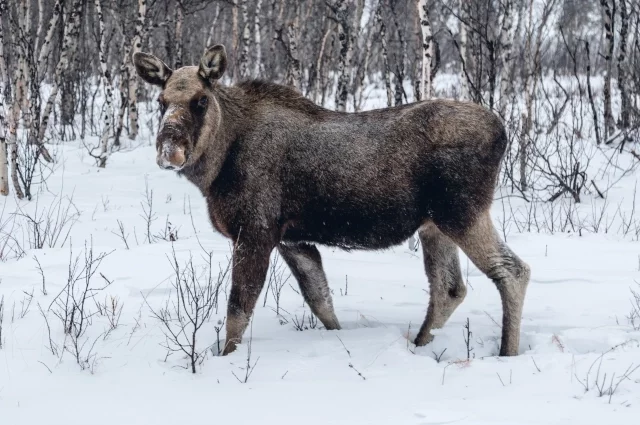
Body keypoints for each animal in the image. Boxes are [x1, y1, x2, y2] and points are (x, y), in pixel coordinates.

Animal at [134, 44, 528, 354]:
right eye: (161, 101)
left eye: (201, 100)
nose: (169, 151)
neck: (216, 167)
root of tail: (503, 131)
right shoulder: (293, 239)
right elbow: (321, 301)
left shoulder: (255, 231)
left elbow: (237, 312)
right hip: (434, 225)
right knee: (449, 288)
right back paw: (419, 345)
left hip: (462, 212)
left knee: (512, 271)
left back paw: (507, 352)